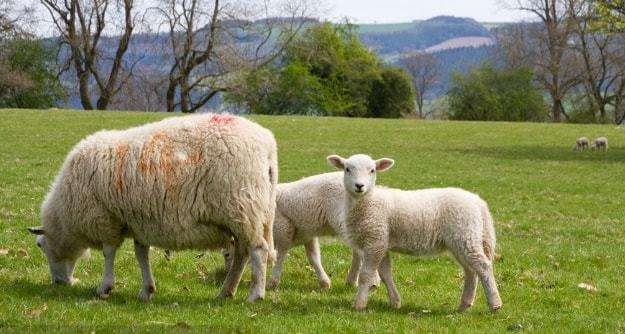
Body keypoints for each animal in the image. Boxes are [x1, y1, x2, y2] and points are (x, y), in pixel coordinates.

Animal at [26, 113, 276, 302]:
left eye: (41, 245)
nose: (59, 283)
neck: (66, 216)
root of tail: (267, 146)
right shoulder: (139, 221)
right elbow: (141, 254)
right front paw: (146, 290)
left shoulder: (105, 219)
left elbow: (109, 253)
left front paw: (105, 287)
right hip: (248, 216)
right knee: (242, 253)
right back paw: (226, 291)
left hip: (243, 208)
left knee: (258, 250)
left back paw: (255, 294)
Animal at [326, 155, 502, 312]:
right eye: (347, 169)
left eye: (372, 170)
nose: (359, 186)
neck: (369, 202)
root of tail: (478, 201)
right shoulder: (382, 241)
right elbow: (385, 274)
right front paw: (395, 302)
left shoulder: (375, 240)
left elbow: (366, 275)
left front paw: (359, 304)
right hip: (461, 240)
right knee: (470, 271)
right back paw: (464, 305)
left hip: (465, 235)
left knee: (483, 266)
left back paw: (495, 304)